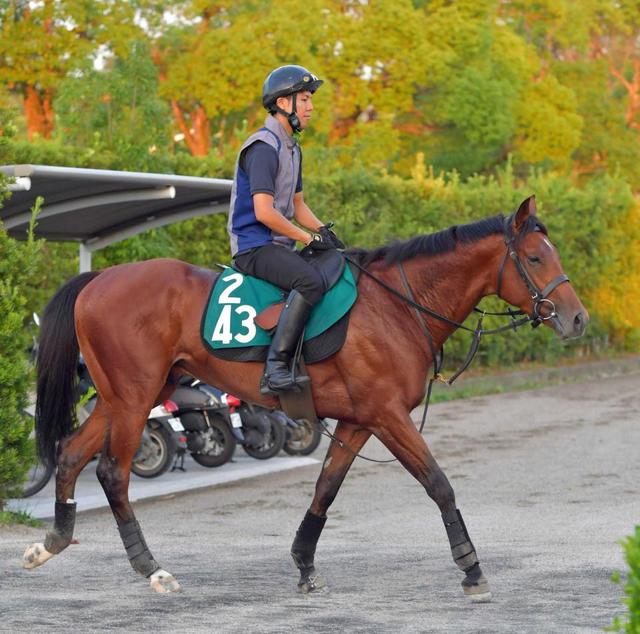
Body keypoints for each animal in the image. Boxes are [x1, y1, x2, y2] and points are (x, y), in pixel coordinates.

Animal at [23, 196, 584, 596]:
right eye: (535, 257)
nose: (577, 319)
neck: (397, 306)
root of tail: (99, 278)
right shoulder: (389, 418)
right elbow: (439, 485)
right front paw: (471, 568)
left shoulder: (360, 421)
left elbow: (324, 490)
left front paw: (304, 563)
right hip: (134, 399)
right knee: (112, 472)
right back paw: (151, 568)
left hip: (123, 397)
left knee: (71, 454)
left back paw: (52, 542)